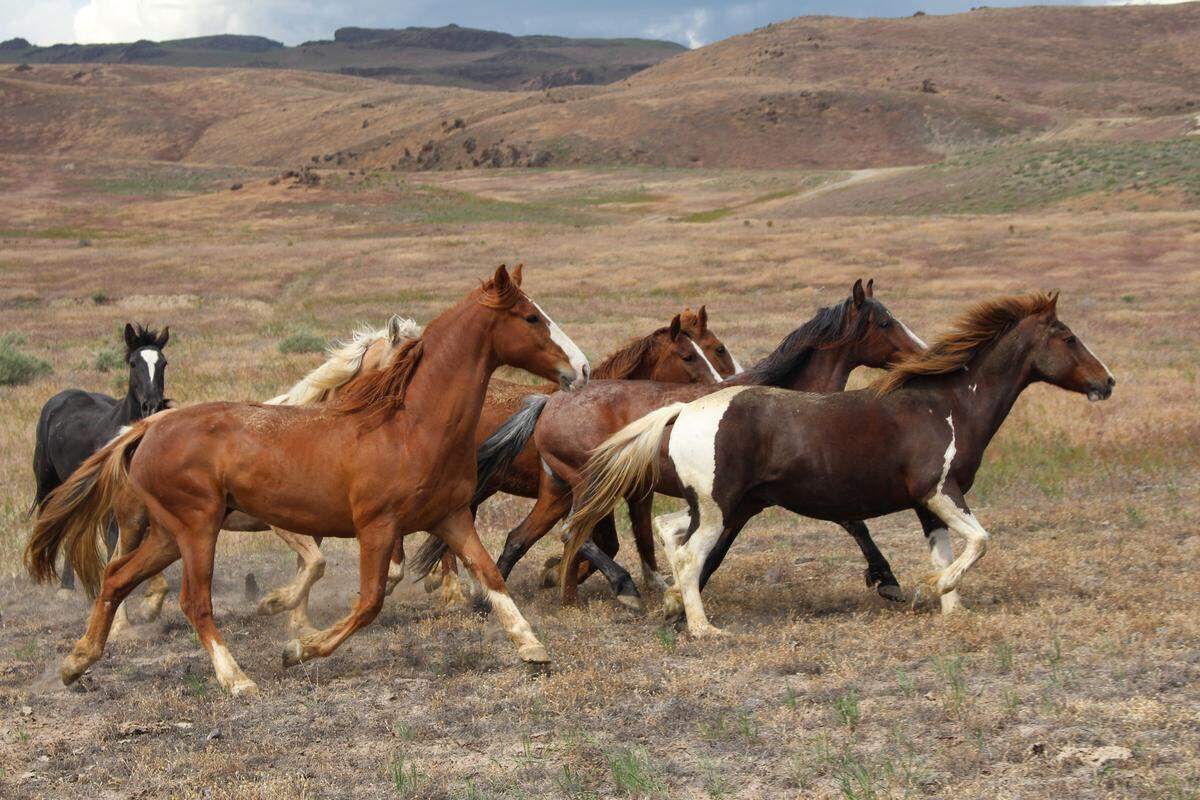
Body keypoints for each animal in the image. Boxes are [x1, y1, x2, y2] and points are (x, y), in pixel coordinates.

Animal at [31, 323, 170, 593]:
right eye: (133, 363)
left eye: (163, 363)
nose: (152, 405)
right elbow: (114, 538)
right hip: (46, 481)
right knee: (48, 519)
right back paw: (53, 582)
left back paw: (67, 582)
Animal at [445, 279, 924, 611]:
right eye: (885, 322)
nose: (921, 353)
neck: (782, 397)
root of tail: (549, 401)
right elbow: (852, 521)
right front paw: (886, 579)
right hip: (585, 487)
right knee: (568, 533)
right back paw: (617, 588)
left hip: (559, 490)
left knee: (525, 537)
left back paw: (511, 598)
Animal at [565, 292, 1114, 637]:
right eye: (1068, 337)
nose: (1107, 382)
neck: (949, 405)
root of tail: (683, 410)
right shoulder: (940, 490)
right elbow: (980, 541)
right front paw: (927, 589)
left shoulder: (928, 505)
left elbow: (945, 553)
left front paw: (948, 607)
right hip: (721, 508)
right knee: (686, 553)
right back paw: (702, 627)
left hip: (716, 506)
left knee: (669, 531)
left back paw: (671, 601)